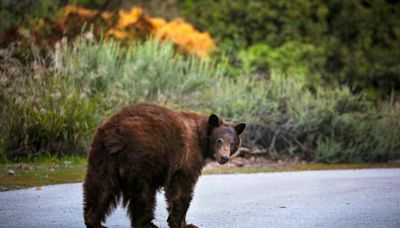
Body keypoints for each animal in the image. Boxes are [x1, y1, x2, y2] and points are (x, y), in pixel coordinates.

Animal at [83, 104, 245, 228]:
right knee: (143, 194)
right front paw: (180, 223)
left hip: (102, 157)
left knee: (101, 188)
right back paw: (147, 224)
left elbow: (173, 192)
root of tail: (115, 135)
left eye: (232, 143)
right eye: (219, 140)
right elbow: (182, 190)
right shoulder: (187, 158)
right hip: (140, 158)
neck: (201, 139)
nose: (224, 158)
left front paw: (183, 222)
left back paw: (94, 221)